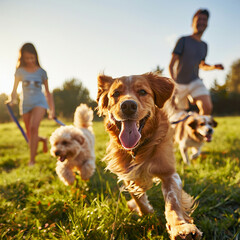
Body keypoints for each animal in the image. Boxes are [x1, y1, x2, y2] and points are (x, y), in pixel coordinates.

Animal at [96, 72, 202, 240]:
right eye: (116, 94)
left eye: (142, 92)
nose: (128, 105)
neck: (140, 147)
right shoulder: (128, 173)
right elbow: (137, 197)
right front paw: (145, 211)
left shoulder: (169, 174)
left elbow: (173, 202)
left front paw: (181, 228)